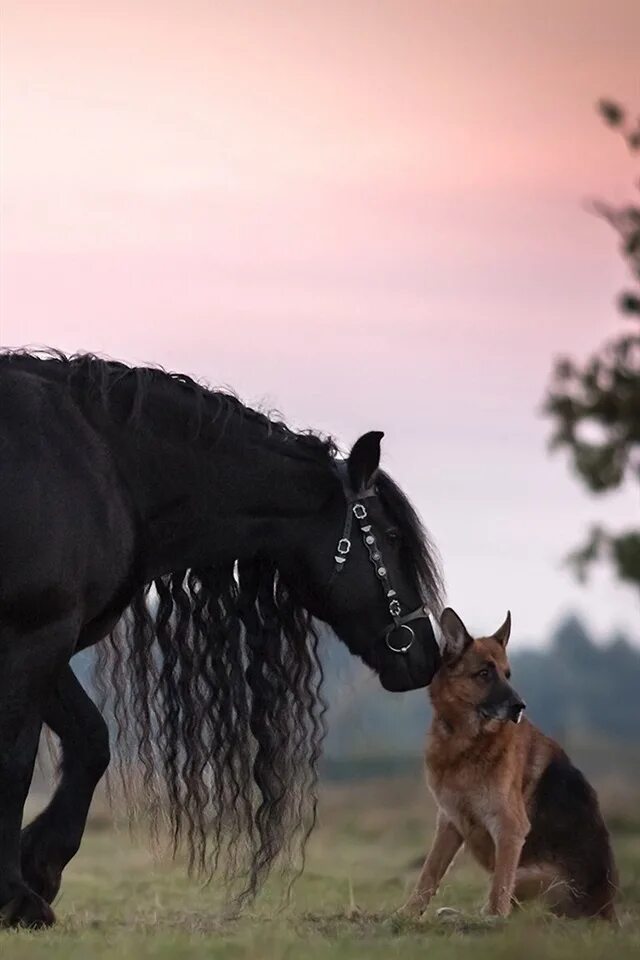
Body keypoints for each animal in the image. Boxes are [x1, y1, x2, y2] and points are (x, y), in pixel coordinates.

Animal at [0, 348, 440, 928]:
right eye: (390, 536)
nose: (427, 653)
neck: (102, 462)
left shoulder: (49, 645)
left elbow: (91, 741)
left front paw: (40, 868)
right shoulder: (34, 635)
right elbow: (16, 762)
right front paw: (16, 895)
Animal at [400, 608, 620, 924]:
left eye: (507, 674)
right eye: (484, 673)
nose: (520, 707)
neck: (465, 744)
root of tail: (605, 912)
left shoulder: (509, 828)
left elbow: (498, 894)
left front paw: (491, 921)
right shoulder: (449, 822)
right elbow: (428, 874)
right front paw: (404, 915)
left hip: (527, 873)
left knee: (512, 905)